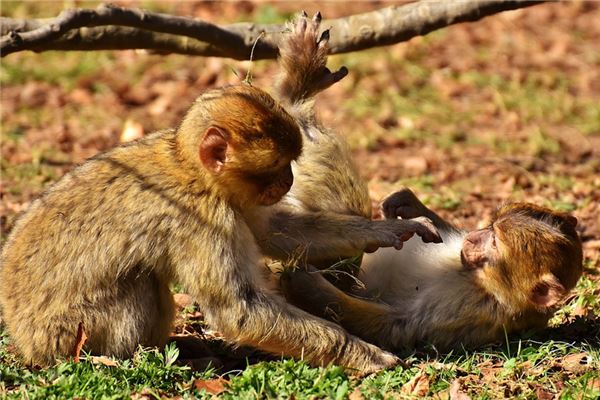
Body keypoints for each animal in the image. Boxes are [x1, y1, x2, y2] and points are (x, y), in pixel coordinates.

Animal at [0, 83, 412, 374]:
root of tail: (23, 338)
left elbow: (275, 233)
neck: (193, 170)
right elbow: (239, 310)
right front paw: (360, 353)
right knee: (141, 284)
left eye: (289, 165)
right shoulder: (203, 221)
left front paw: (382, 231)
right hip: (67, 333)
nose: (290, 180)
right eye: (278, 166)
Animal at [280, 188, 580, 350]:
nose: (473, 238)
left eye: (495, 242)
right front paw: (408, 204)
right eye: (491, 227)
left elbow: (398, 326)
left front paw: (308, 281)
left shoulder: (470, 310)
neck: (481, 281)